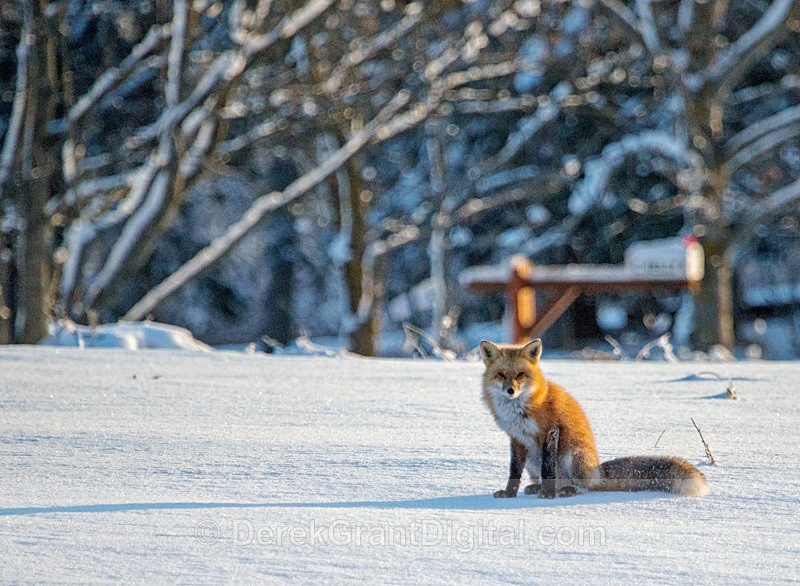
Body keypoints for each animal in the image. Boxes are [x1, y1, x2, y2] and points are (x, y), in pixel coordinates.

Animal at [479, 339, 708, 499]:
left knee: (586, 487)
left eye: (520, 374)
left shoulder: (550, 431)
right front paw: (509, 494)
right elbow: (514, 471)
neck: (518, 410)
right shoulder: (517, 437)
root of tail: (598, 471)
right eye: (501, 374)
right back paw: (537, 487)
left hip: (573, 455)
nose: (510, 391)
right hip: (532, 460)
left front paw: (547, 495)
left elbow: (548, 468)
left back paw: (567, 490)